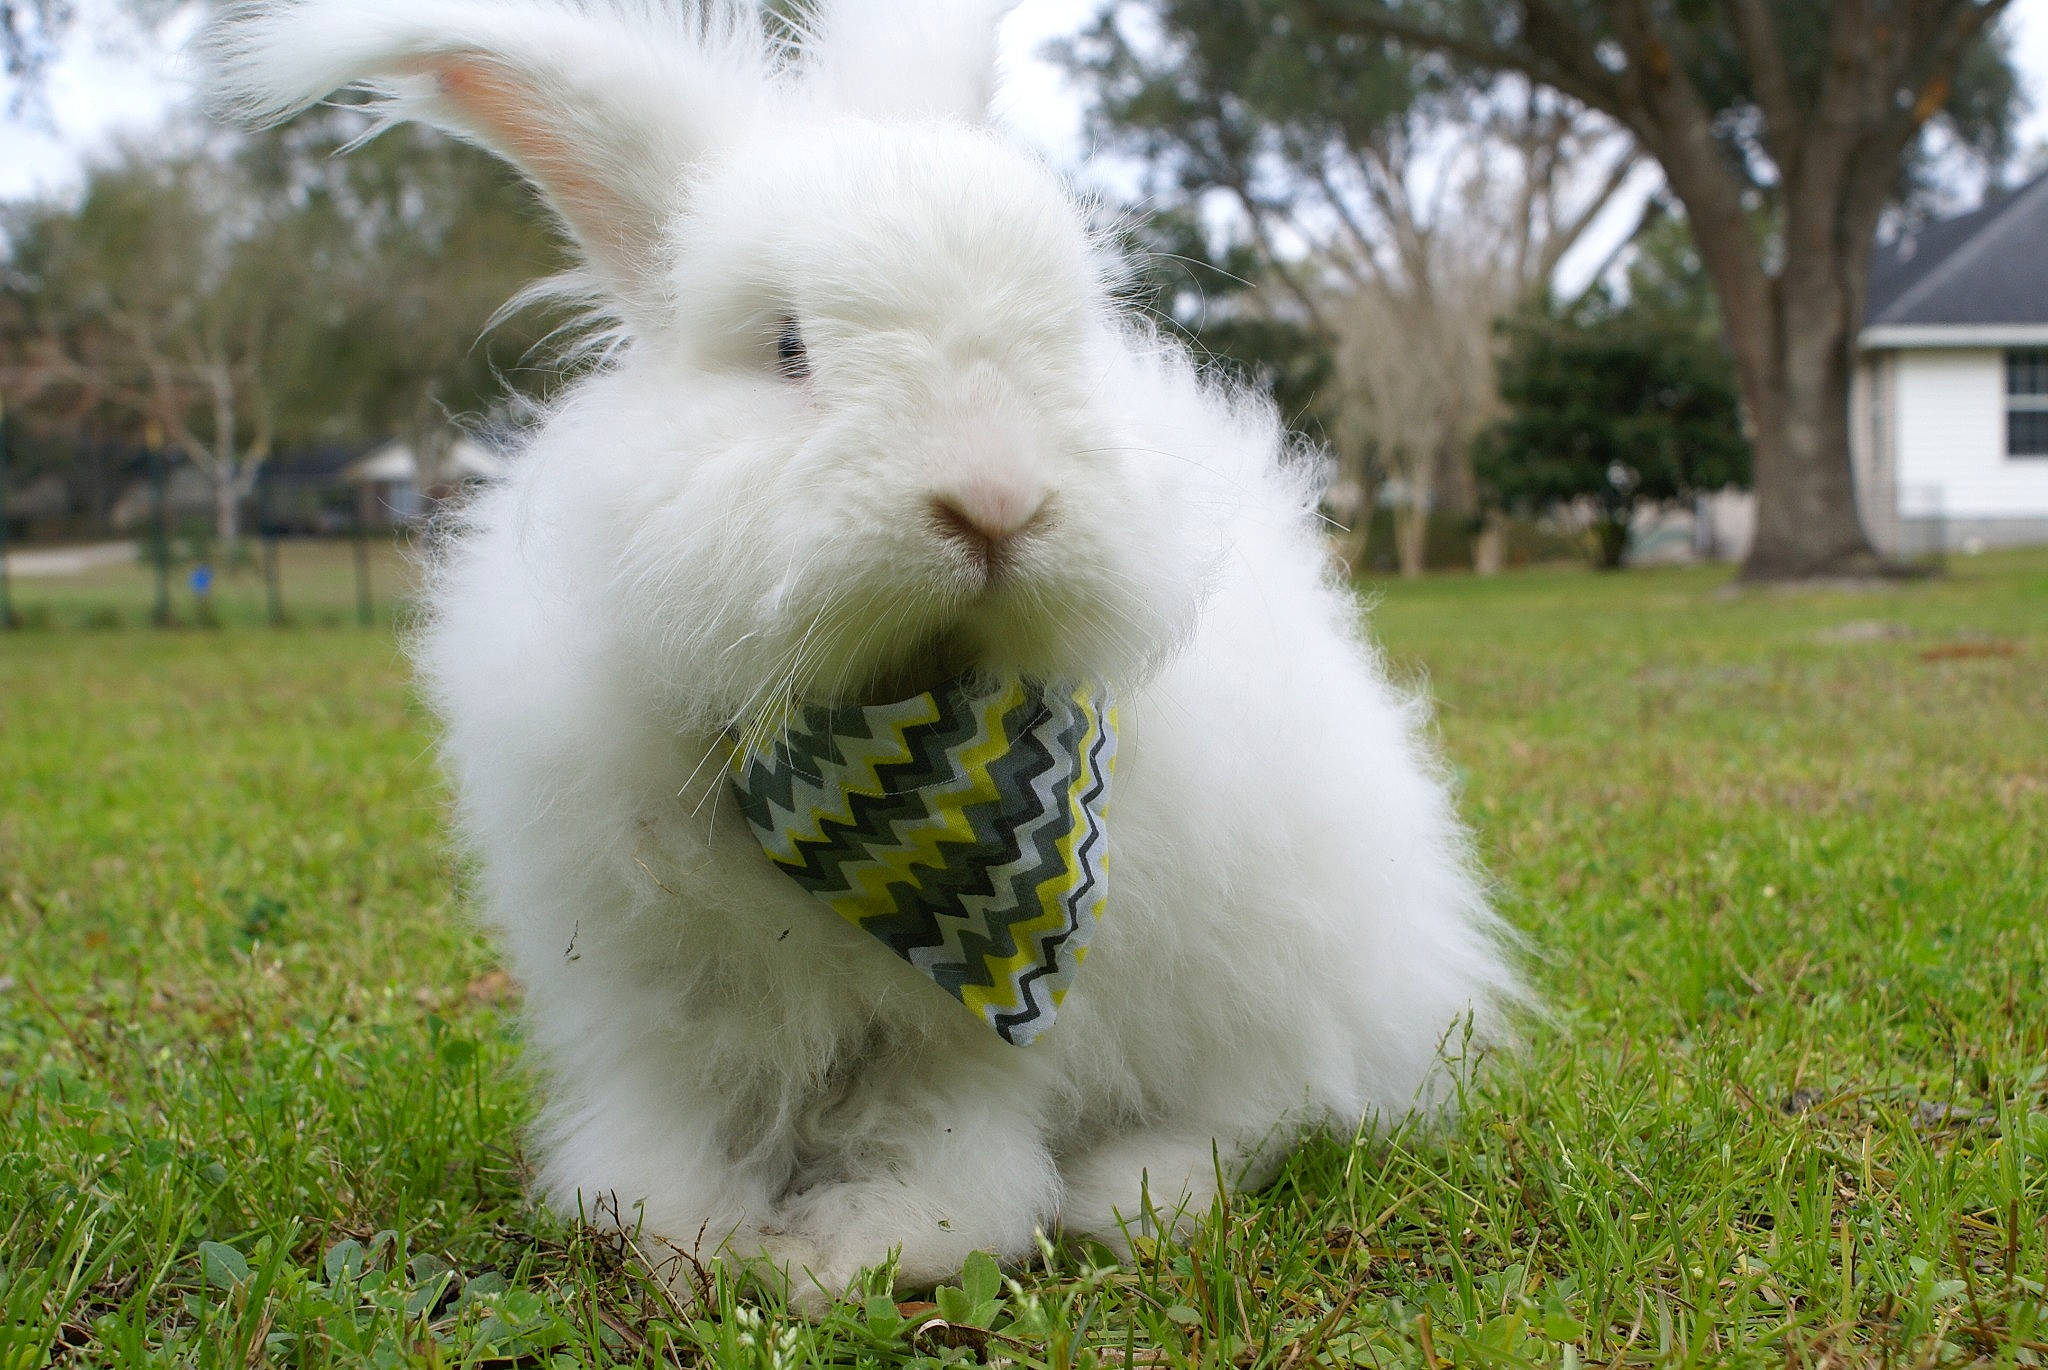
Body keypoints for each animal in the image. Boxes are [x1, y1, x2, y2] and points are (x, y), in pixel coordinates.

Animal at [206, 0, 1519, 1313]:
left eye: (1061, 337)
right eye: (788, 347)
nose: (993, 501)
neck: (886, 735)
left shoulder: (981, 1020)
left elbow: (940, 1132)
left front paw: (866, 1250)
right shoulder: (666, 992)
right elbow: (687, 1116)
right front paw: (672, 1232)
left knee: (1278, 1103)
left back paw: (1133, 1192)